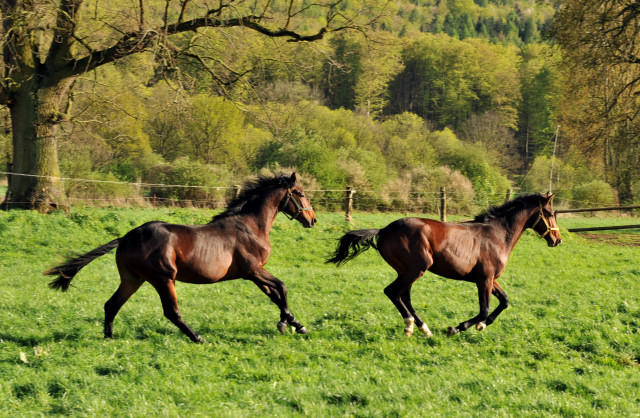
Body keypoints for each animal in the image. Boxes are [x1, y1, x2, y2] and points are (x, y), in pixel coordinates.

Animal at [43, 171, 316, 342]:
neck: (250, 225)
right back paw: (197, 337)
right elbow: (282, 287)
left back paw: (109, 338)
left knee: (112, 304)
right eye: (301, 193)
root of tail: (126, 237)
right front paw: (287, 323)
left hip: (133, 279)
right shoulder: (253, 270)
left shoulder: (253, 274)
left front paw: (293, 323)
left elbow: (275, 295)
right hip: (164, 279)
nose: (313, 220)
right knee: (171, 312)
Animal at [328, 194, 564, 338]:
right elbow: (484, 309)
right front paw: (457, 328)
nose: (557, 240)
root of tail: (384, 230)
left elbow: (504, 301)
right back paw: (410, 325)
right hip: (416, 268)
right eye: (550, 213)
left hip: (407, 271)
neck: (497, 235)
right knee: (392, 292)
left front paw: (482, 325)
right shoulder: (484, 280)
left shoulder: (490, 279)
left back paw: (423, 328)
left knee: (403, 296)